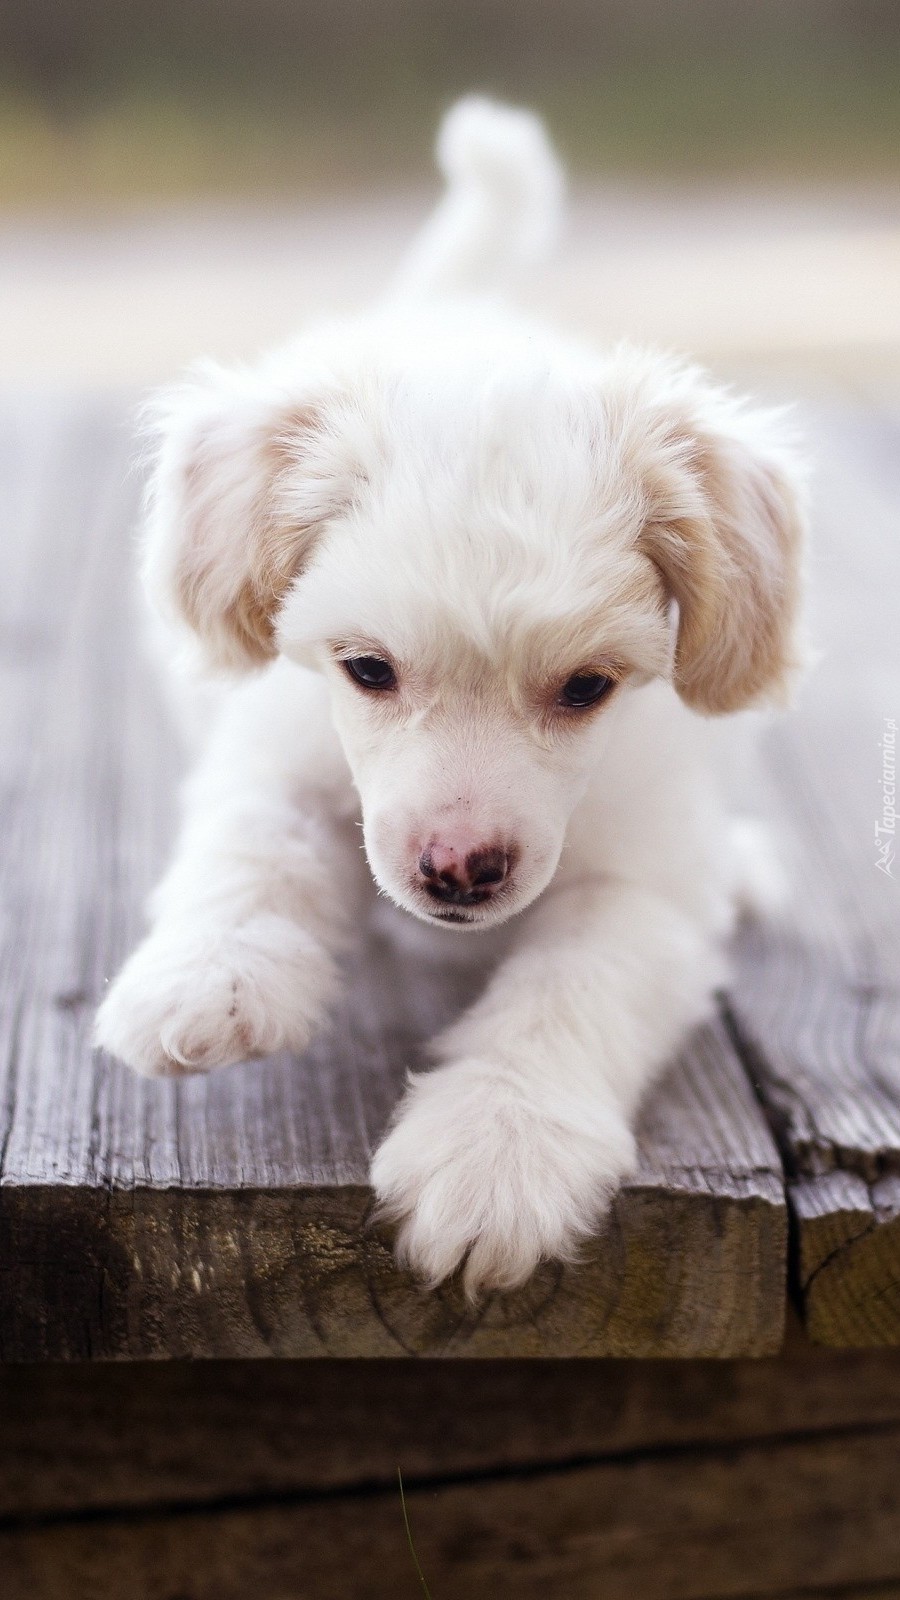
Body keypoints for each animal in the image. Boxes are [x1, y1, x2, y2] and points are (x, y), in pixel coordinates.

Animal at [94, 96, 800, 1299]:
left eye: (588, 686)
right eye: (368, 669)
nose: (460, 869)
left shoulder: (645, 888)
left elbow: (570, 988)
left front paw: (498, 1147)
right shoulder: (274, 745)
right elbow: (254, 849)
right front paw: (210, 976)